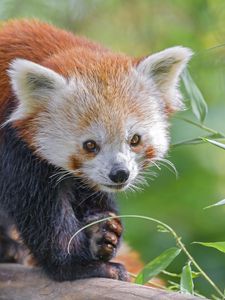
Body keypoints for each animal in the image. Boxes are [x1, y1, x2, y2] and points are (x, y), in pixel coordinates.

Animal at [0, 19, 192, 282]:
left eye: (134, 139)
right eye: (90, 145)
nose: (119, 174)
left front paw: (101, 234)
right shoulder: (15, 147)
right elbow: (40, 211)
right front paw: (79, 266)